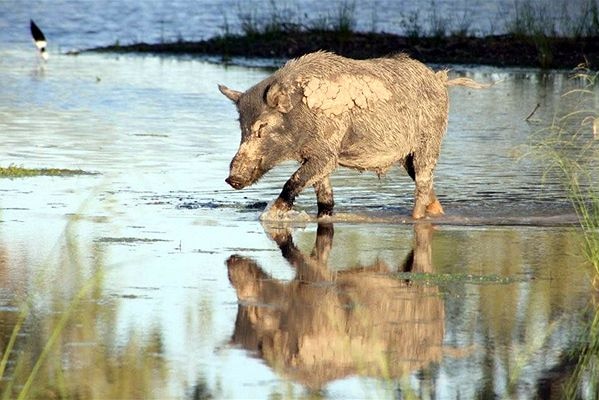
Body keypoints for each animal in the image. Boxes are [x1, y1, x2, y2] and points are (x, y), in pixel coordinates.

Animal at [220, 50, 488, 219]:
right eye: (241, 126)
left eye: (262, 127)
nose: (232, 179)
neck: (301, 116)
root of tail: (439, 80)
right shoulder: (315, 157)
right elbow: (325, 198)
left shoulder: (327, 153)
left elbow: (293, 181)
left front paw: (268, 216)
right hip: (408, 157)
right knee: (430, 188)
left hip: (429, 142)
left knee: (422, 185)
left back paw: (416, 218)